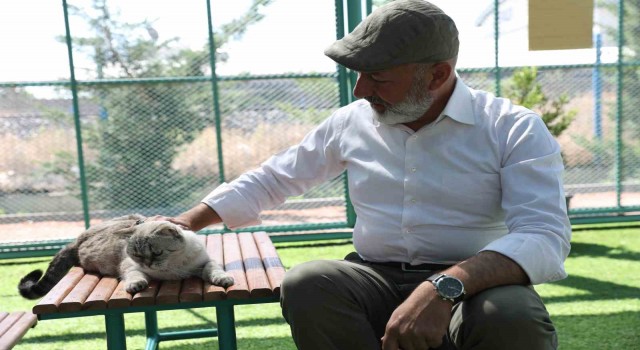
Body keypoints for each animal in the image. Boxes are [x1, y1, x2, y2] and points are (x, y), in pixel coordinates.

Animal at [18, 215, 235, 300]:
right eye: (138, 255)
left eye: (156, 252)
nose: (148, 263)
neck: (171, 270)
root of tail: (79, 237)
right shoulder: (130, 267)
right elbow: (135, 277)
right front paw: (136, 285)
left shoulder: (204, 262)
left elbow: (214, 269)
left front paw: (223, 279)